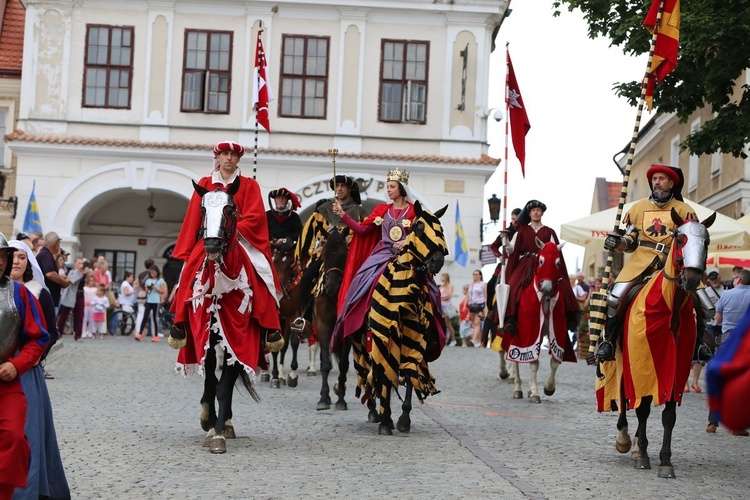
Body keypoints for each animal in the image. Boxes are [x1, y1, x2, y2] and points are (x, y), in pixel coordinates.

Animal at [356, 201, 450, 436]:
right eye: (418, 227)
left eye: (441, 228)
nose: (436, 261)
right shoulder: (382, 337)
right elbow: (384, 376)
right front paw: (385, 420)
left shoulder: (414, 337)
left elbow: (408, 372)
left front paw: (403, 419)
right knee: (367, 372)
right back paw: (375, 410)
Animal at [502, 236, 580, 404]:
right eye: (541, 261)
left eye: (558, 262)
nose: (547, 288)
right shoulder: (530, 331)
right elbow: (532, 362)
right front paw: (535, 393)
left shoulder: (557, 331)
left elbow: (555, 361)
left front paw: (548, 388)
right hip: (514, 333)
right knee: (515, 361)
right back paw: (518, 389)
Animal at [600, 209, 716, 478]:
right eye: (681, 239)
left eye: (706, 241)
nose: (692, 279)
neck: (670, 309)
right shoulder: (640, 362)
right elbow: (642, 408)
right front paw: (642, 455)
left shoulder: (677, 368)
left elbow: (668, 415)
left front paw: (665, 462)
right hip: (622, 356)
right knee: (624, 396)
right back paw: (624, 439)